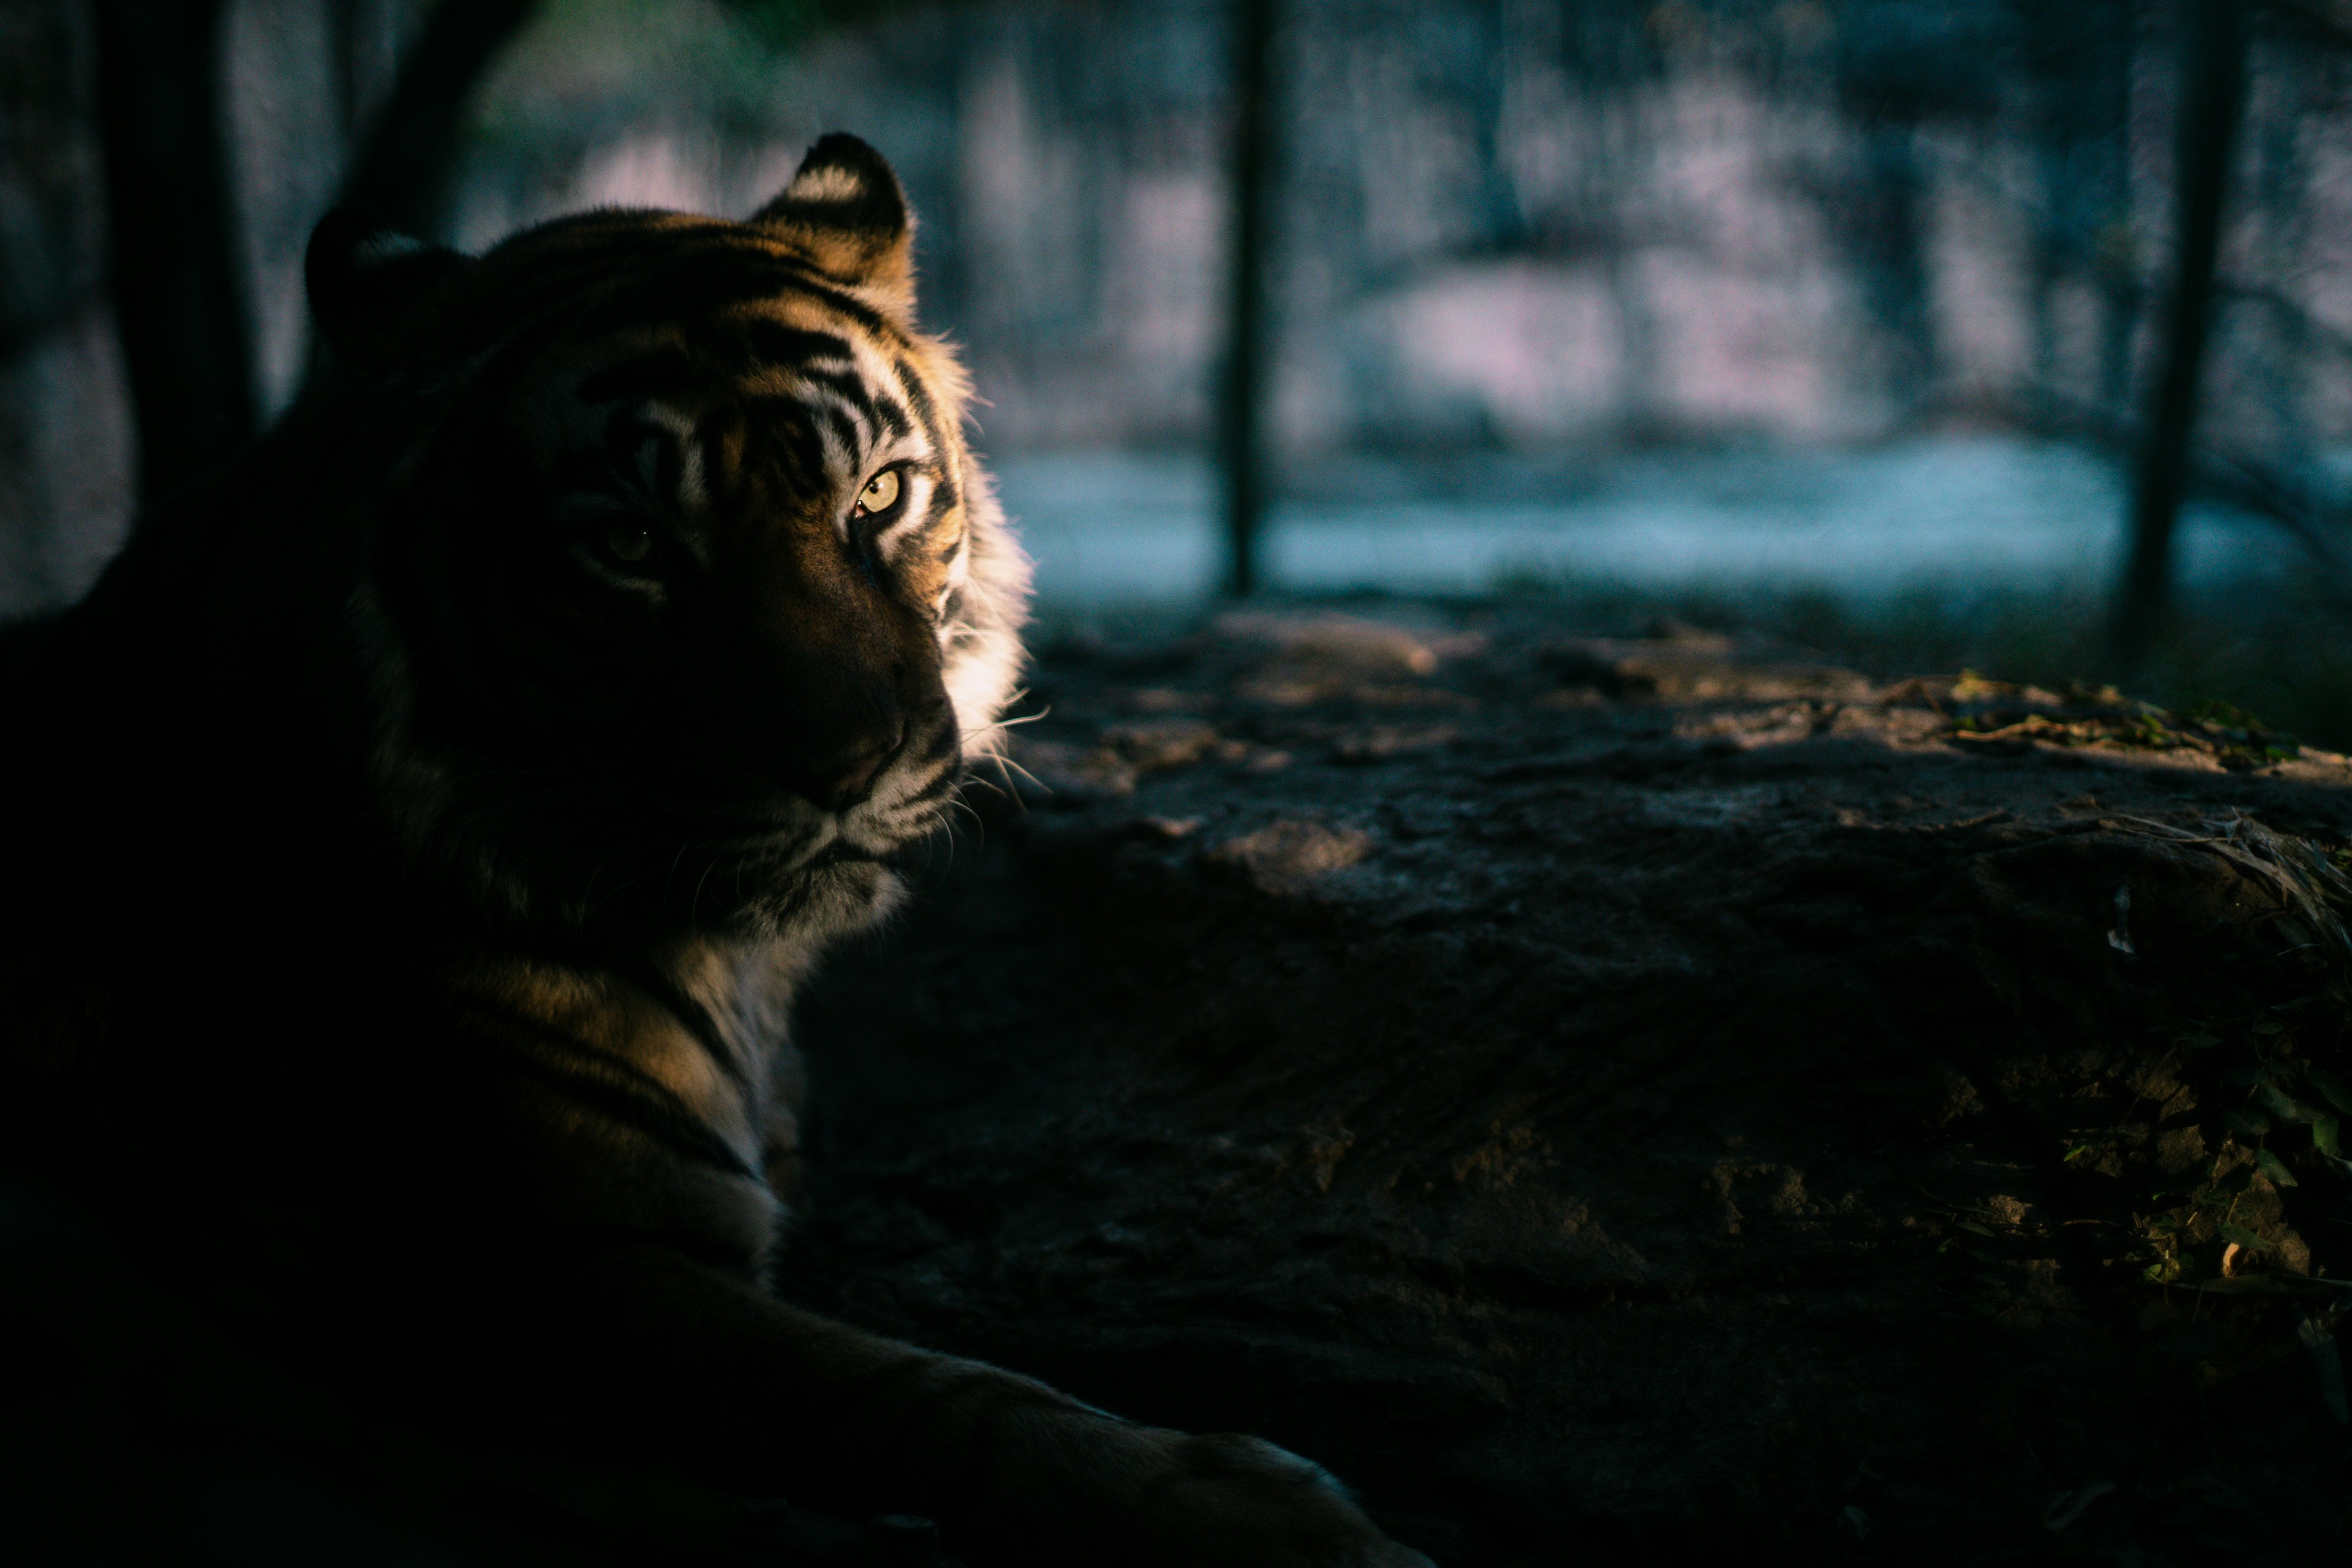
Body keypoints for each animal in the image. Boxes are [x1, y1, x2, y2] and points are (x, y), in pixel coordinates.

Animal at [0, 135, 1430, 1568]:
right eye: (631, 543)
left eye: (878, 494)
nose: (846, 766)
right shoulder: (558, 1268)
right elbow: (922, 1397)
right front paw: (1267, 1509)